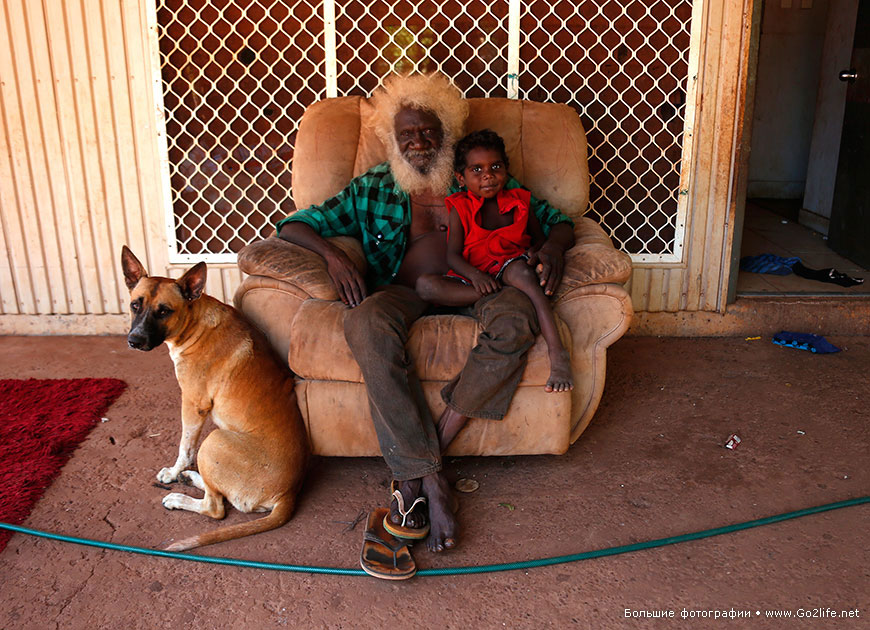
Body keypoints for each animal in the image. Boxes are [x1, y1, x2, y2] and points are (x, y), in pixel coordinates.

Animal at [119, 247, 310, 552]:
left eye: (164, 311)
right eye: (136, 305)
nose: (134, 341)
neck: (194, 321)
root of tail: (289, 494)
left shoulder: (192, 404)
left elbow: (185, 448)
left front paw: (173, 472)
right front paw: (181, 473)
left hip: (214, 441)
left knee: (215, 507)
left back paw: (179, 496)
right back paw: (193, 478)